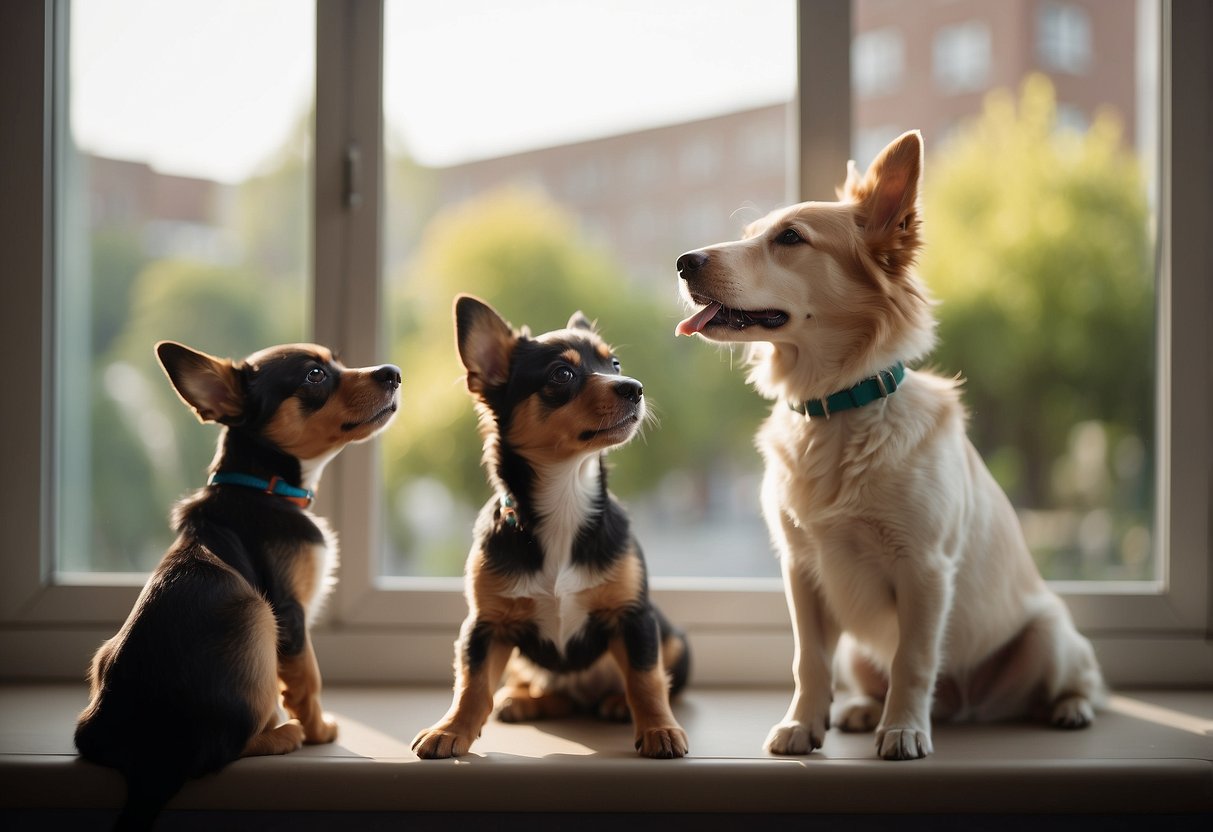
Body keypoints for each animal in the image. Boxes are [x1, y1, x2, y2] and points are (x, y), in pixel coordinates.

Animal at [74, 339, 397, 829]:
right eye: (316, 375)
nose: (393, 373)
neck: (263, 487)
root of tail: (150, 763)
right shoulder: (289, 612)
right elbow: (309, 678)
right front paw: (320, 729)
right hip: (255, 614)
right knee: (217, 753)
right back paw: (285, 734)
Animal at [412, 298, 688, 761]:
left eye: (614, 364)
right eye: (563, 374)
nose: (634, 387)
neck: (566, 500)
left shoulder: (634, 618)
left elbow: (646, 680)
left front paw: (659, 730)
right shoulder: (484, 627)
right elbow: (472, 685)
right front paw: (450, 730)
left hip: (673, 641)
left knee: (651, 682)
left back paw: (615, 702)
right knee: (541, 689)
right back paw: (525, 700)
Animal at [679, 130, 1106, 761]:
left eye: (789, 238)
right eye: (753, 232)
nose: (683, 262)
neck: (836, 409)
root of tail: (966, 708)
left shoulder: (924, 569)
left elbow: (913, 659)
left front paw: (903, 729)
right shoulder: (800, 570)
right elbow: (809, 660)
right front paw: (803, 724)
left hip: (1050, 633)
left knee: (1082, 680)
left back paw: (1068, 708)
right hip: (859, 652)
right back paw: (859, 710)